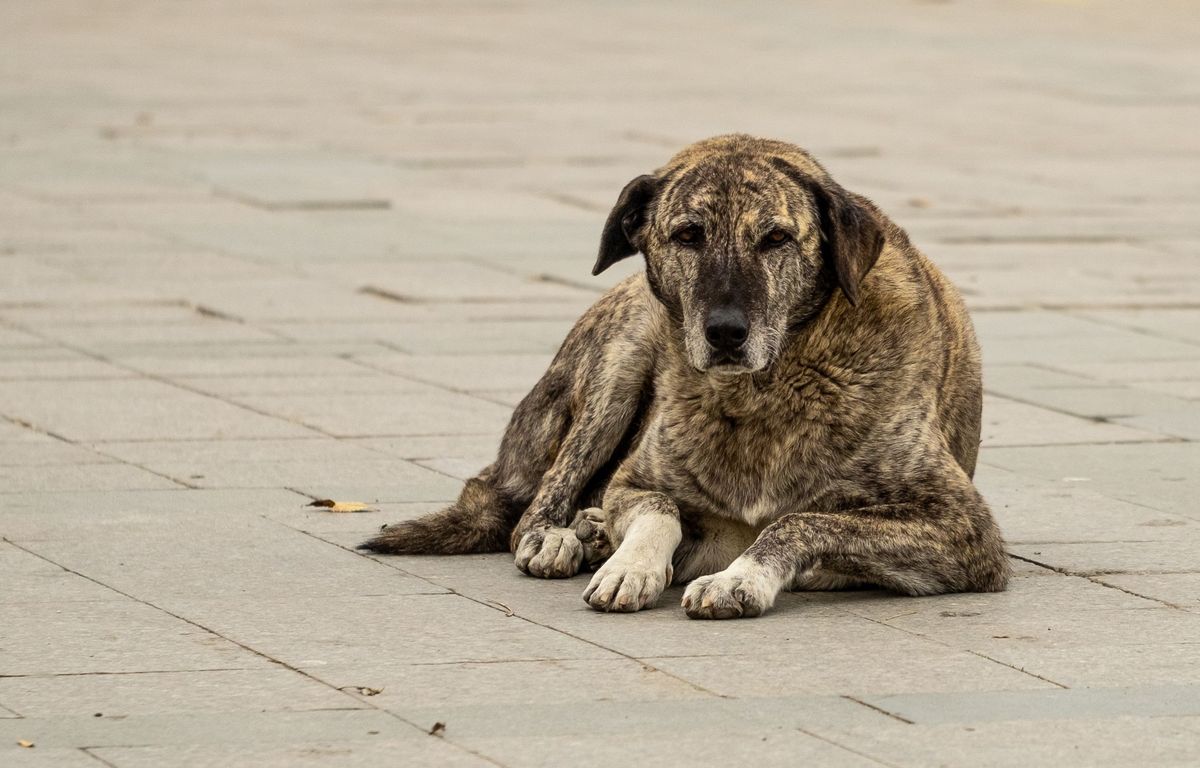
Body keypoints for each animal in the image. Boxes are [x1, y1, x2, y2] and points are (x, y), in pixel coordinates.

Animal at [360, 133, 1008, 619]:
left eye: (776, 238)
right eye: (688, 235)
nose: (725, 331)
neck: (761, 393)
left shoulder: (965, 530)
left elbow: (800, 520)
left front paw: (739, 578)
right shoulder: (634, 481)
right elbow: (657, 509)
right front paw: (630, 563)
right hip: (622, 355)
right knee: (533, 509)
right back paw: (565, 534)